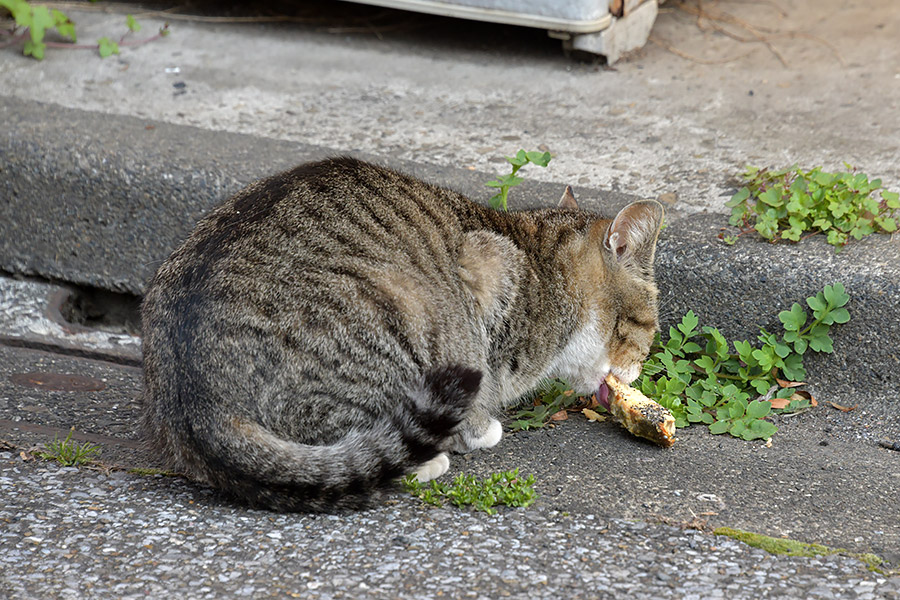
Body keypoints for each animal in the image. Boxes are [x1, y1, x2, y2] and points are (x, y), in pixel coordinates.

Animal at [139, 156, 660, 510]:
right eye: (649, 328)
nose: (638, 371)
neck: (542, 263)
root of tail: (195, 401)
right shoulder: (485, 274)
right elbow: (480, 384)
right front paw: (480, 430)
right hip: (392, 316)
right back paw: (424, 458)